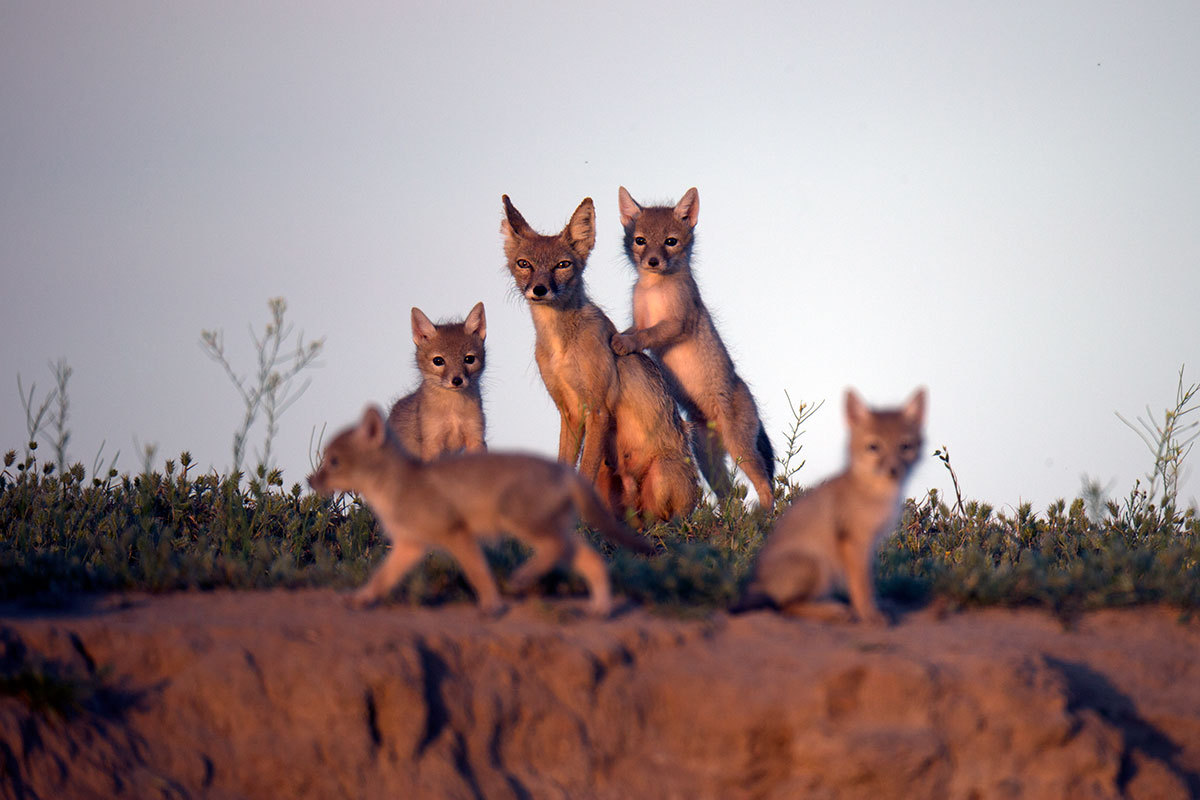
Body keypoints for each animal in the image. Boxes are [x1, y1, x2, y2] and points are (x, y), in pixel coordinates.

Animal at [304, 407, 652, 618]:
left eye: (333, 461)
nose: (310, 480)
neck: (396, 486)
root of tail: (565, 472)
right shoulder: (409, 546)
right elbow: (381, 578)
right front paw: (361, 599)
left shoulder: (456, 533)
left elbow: (477, 572)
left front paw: (492, 605)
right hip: (552, 529)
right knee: (589, 558)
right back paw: (600, 608)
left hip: (520, 519)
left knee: (557, 549)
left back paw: (523, 576)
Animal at [391, 302, 489, 462]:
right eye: (438, 361)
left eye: (469, 359)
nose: (457, 380)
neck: (453, 409)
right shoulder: (432, 442)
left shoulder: (476, 437)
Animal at [499, 195, 700, 525]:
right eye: (524, 264)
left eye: (563, 265)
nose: (540, 289)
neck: (561, 346)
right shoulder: (568, 413)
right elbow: (565, 467)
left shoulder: (597, 410)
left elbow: (582, 473)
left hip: (661, 475)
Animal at [609, 185, 777, 506]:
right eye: (640, 241)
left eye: (670, 242)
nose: (653, 261)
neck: (653, 290)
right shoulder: (639, 319)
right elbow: (636, 329)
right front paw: (619, 337)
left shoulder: (676, 324)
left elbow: (646, 336)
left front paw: (624, 343)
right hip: (707, 458)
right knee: (730, 497)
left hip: (740, 449)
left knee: (765, 486)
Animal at [729, 388, 926, 623]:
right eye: (873, 447)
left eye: (905, 447)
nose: (894, 469)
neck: (873, 492)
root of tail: (753, 582)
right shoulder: (854, 542)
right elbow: (861, 586)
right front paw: (869, 615)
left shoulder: (869, 545)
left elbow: (868, 584)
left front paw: (876, 607)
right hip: (818, 564)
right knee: (785, 606)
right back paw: (834, 610)